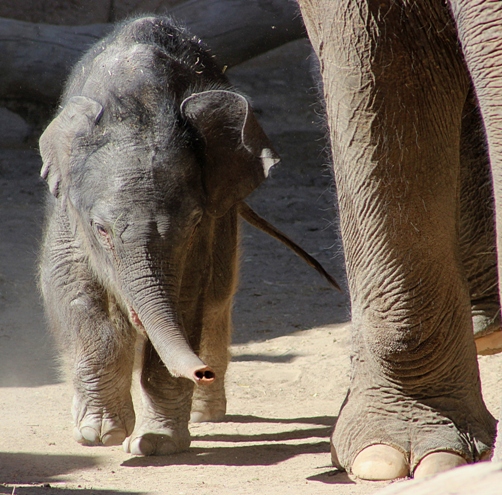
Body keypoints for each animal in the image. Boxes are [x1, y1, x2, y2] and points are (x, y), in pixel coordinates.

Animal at [39, 15, 280, 458]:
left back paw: (206, 413)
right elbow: (72, 286)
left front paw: (154, 444)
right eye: (101, 229)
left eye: (194, 222)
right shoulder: (67, 210)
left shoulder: (208, 225)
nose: (201, 372)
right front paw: (100, 435)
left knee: (217, 296)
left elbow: (187, 299)